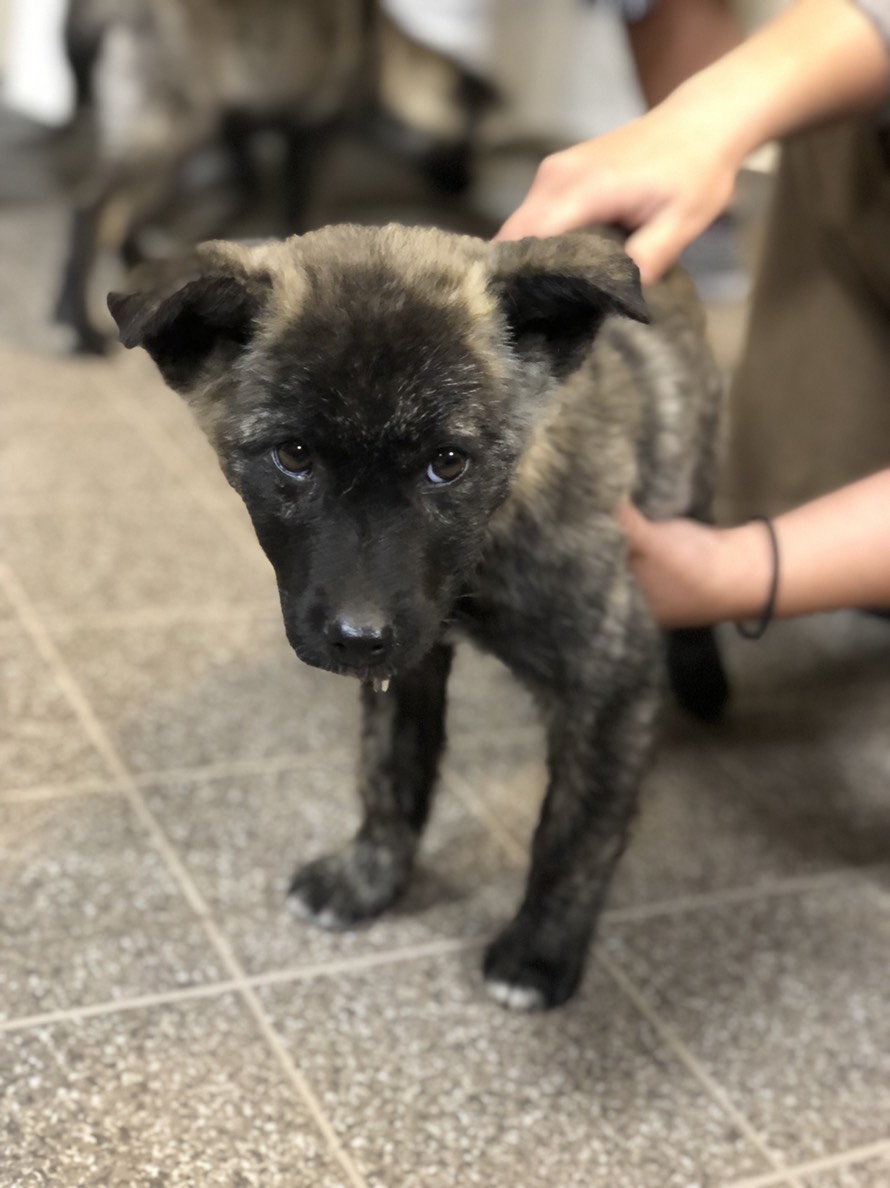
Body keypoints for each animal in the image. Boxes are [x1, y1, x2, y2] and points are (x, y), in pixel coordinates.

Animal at [57, 0, 493, 355]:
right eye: (470, 142)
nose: (469, 183)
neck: (386, 51)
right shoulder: (313, 137)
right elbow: (298, 208)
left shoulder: (238, 129)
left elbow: (247, 187)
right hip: (179, 130)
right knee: (94, 208)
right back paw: (80, 326)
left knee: (122, 211)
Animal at [108, 224, 727, 1010]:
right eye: (293, 455)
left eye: (449, 463)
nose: (357, 639)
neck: (481, 556)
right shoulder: (409, 665)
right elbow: (390, 773)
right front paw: (368, 877)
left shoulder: (610, 676)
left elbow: (575, 831)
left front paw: (541, 950)